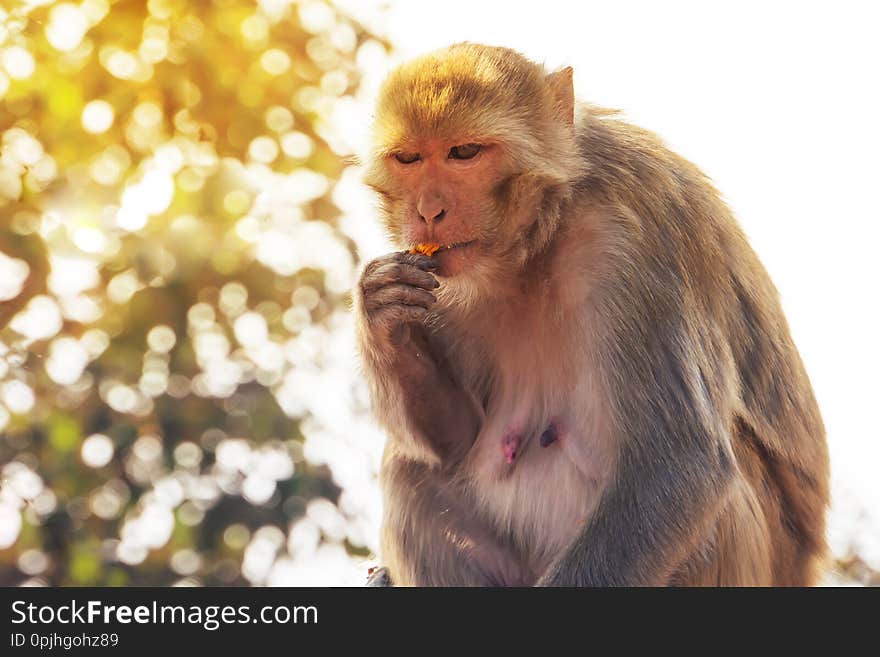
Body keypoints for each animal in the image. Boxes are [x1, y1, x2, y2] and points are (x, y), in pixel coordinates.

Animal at [354, 43, 828, 588]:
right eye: (408, 158)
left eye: (464, 153)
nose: (428, 211)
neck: (542, 232)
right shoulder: (444, 273)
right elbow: (455, 437)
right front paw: (380, 310)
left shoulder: (634, 238)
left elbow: (677, 463)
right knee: (410, 470)